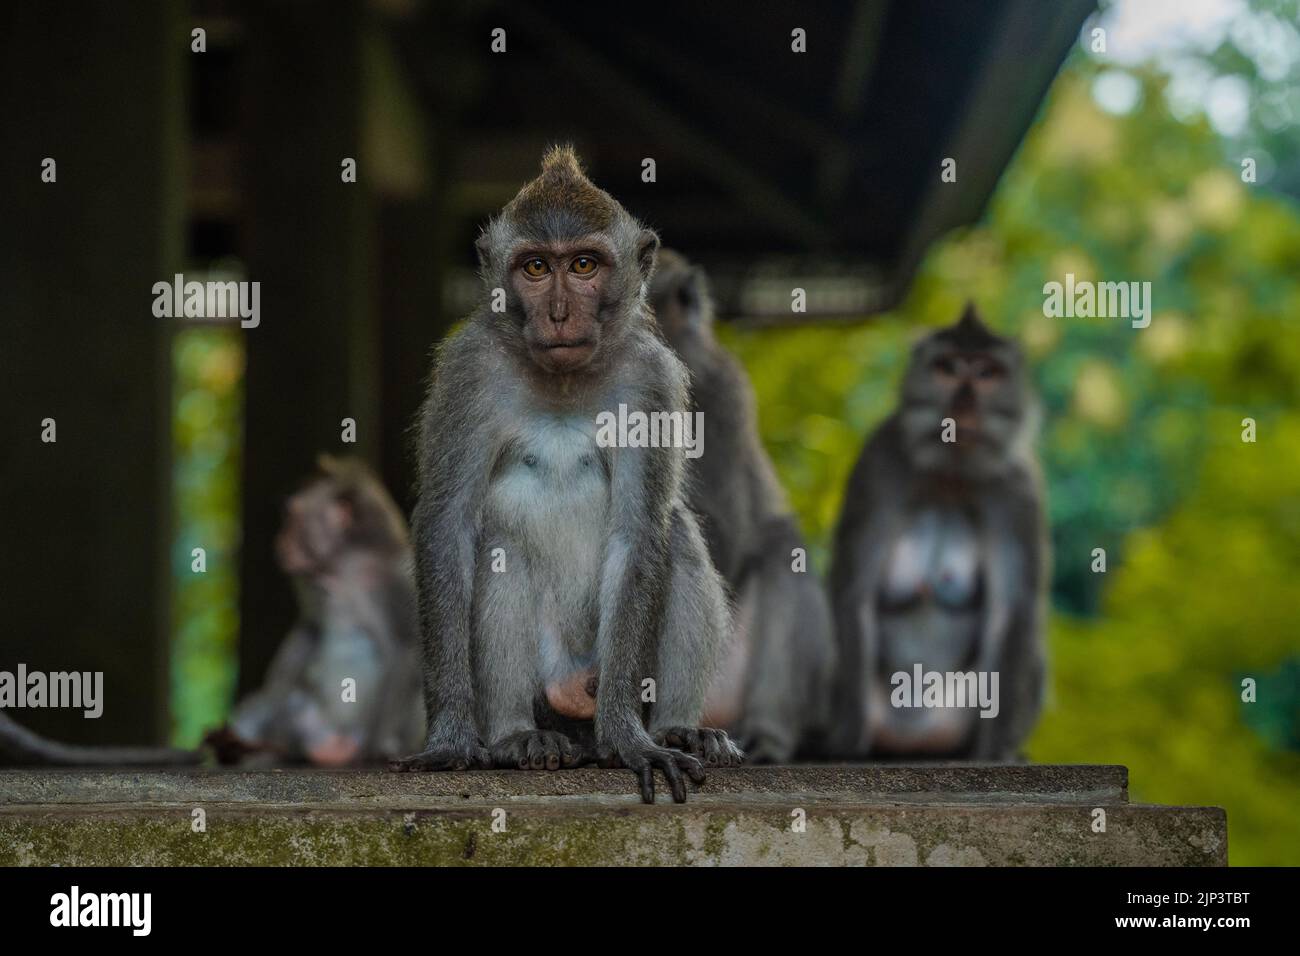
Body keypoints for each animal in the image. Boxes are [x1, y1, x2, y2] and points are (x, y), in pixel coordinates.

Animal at [209, 455, 424, 766]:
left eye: (292, 517)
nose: (280, 540)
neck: (344, 564)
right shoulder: (311, 583)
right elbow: (310, 629)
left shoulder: (399, 576)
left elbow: (407, 647)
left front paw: (377, 748)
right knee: (292, 704)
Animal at [390, 146, 742, 803]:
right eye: (534, 268)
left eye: (583, 265)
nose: (557, 314)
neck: (563, 380)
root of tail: (574, 685)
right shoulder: (468, 371)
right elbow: (449, 527)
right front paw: (450, 739)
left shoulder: (652, 379)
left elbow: (639, 532)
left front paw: (629, 738)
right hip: (546, 676)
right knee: (499, 549)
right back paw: (518, 738)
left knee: (677, 535)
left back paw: (678, 729)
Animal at [828, 304, 1047, 760]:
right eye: (945, 368)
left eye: (987, 372)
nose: (964, 403)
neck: (950, 473)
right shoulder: (878, 464)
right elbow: (854, 593)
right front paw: (847, 741)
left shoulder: (1018, 489)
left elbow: (1012, 611)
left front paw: (996, 752)